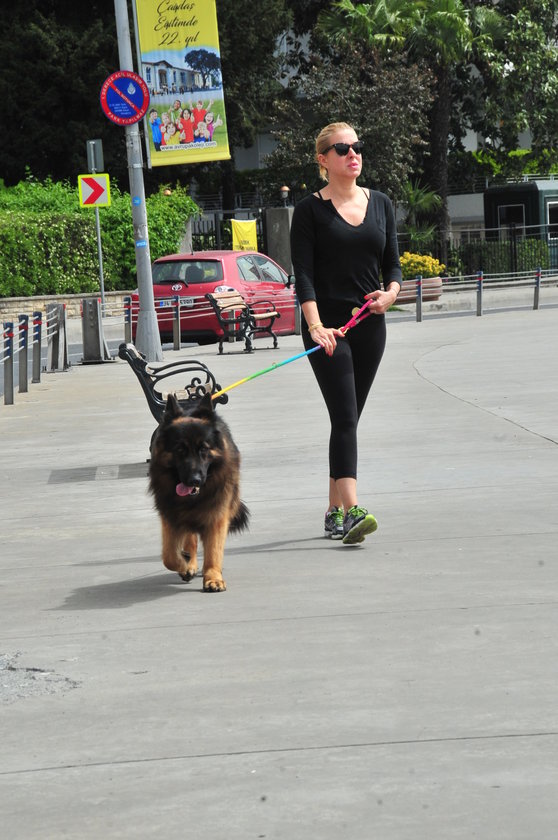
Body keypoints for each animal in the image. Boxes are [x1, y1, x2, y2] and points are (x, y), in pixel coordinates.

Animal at [149, 393, 249, 592]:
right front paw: (185, 564)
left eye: (204, 448)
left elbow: (214, 551)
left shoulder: (217, 516)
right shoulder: (171, 517)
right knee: (191, 540)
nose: (194, 480)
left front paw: (213, 577)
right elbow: (169, 556)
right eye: (180, 449)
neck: (194, 498)